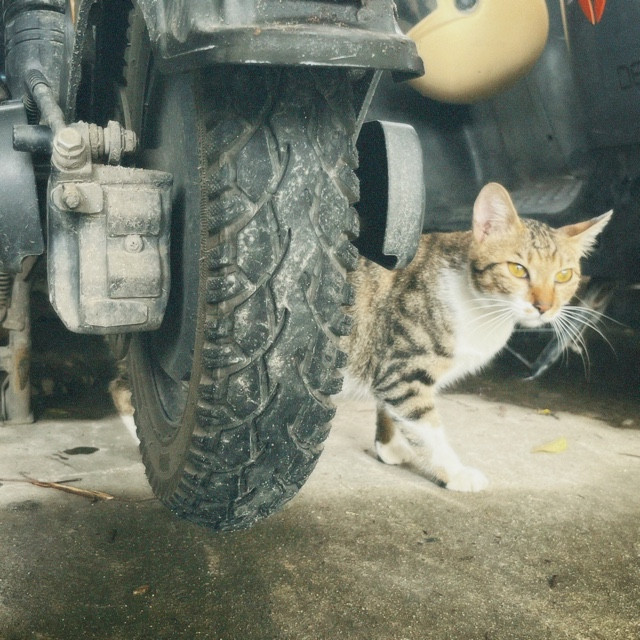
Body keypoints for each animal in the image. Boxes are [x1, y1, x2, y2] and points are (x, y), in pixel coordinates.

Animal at [344, 182, 611, 492]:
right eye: (518, 269)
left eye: (564, 275)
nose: (544, 307)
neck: (485, 310)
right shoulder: (404, 369)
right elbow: (427, 428)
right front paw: (454, 472)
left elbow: (387, 404)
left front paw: (389, 445)